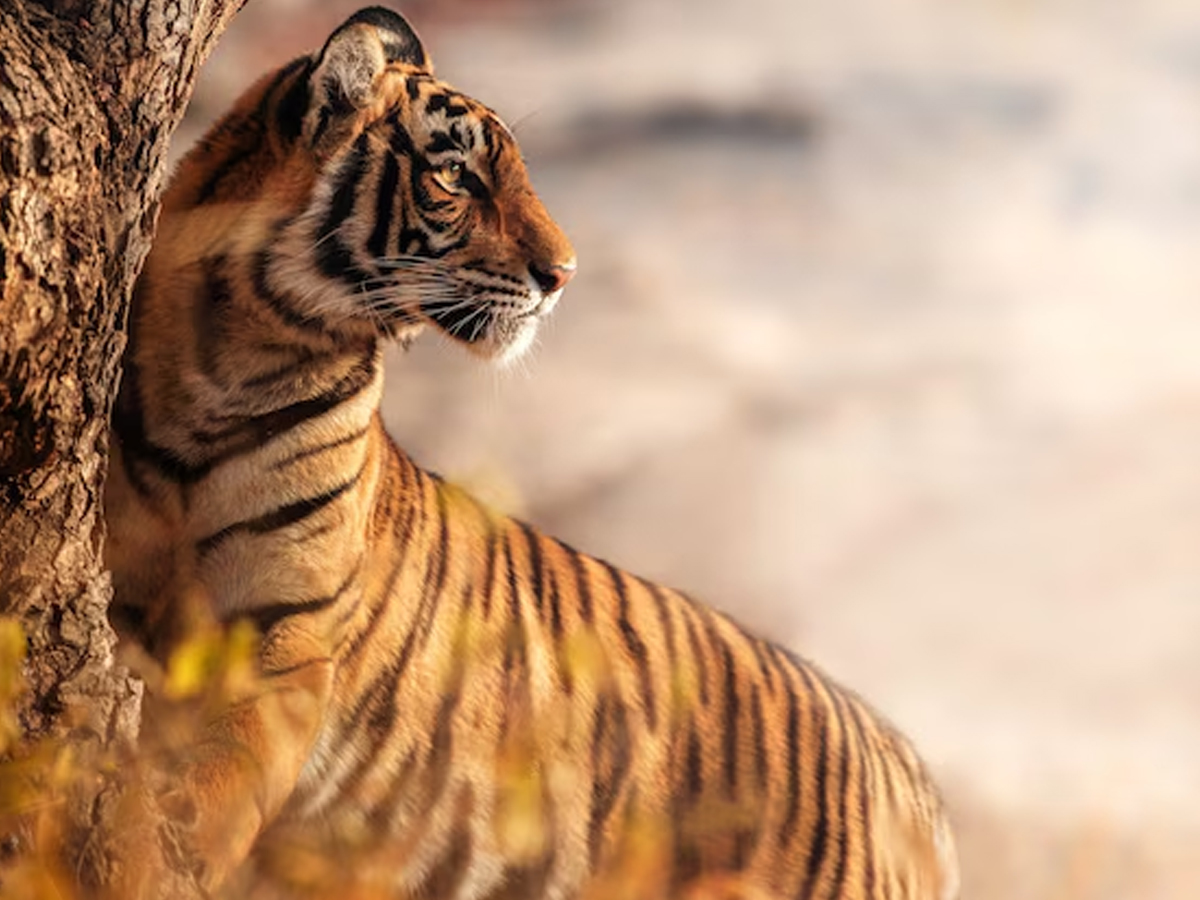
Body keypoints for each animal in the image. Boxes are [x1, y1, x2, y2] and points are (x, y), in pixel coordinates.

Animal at [103, 6, 959, 899]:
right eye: (458, 177)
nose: (565, 275)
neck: (231, 363)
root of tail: (908, 770)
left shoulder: (286, 643)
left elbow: (217, 788)